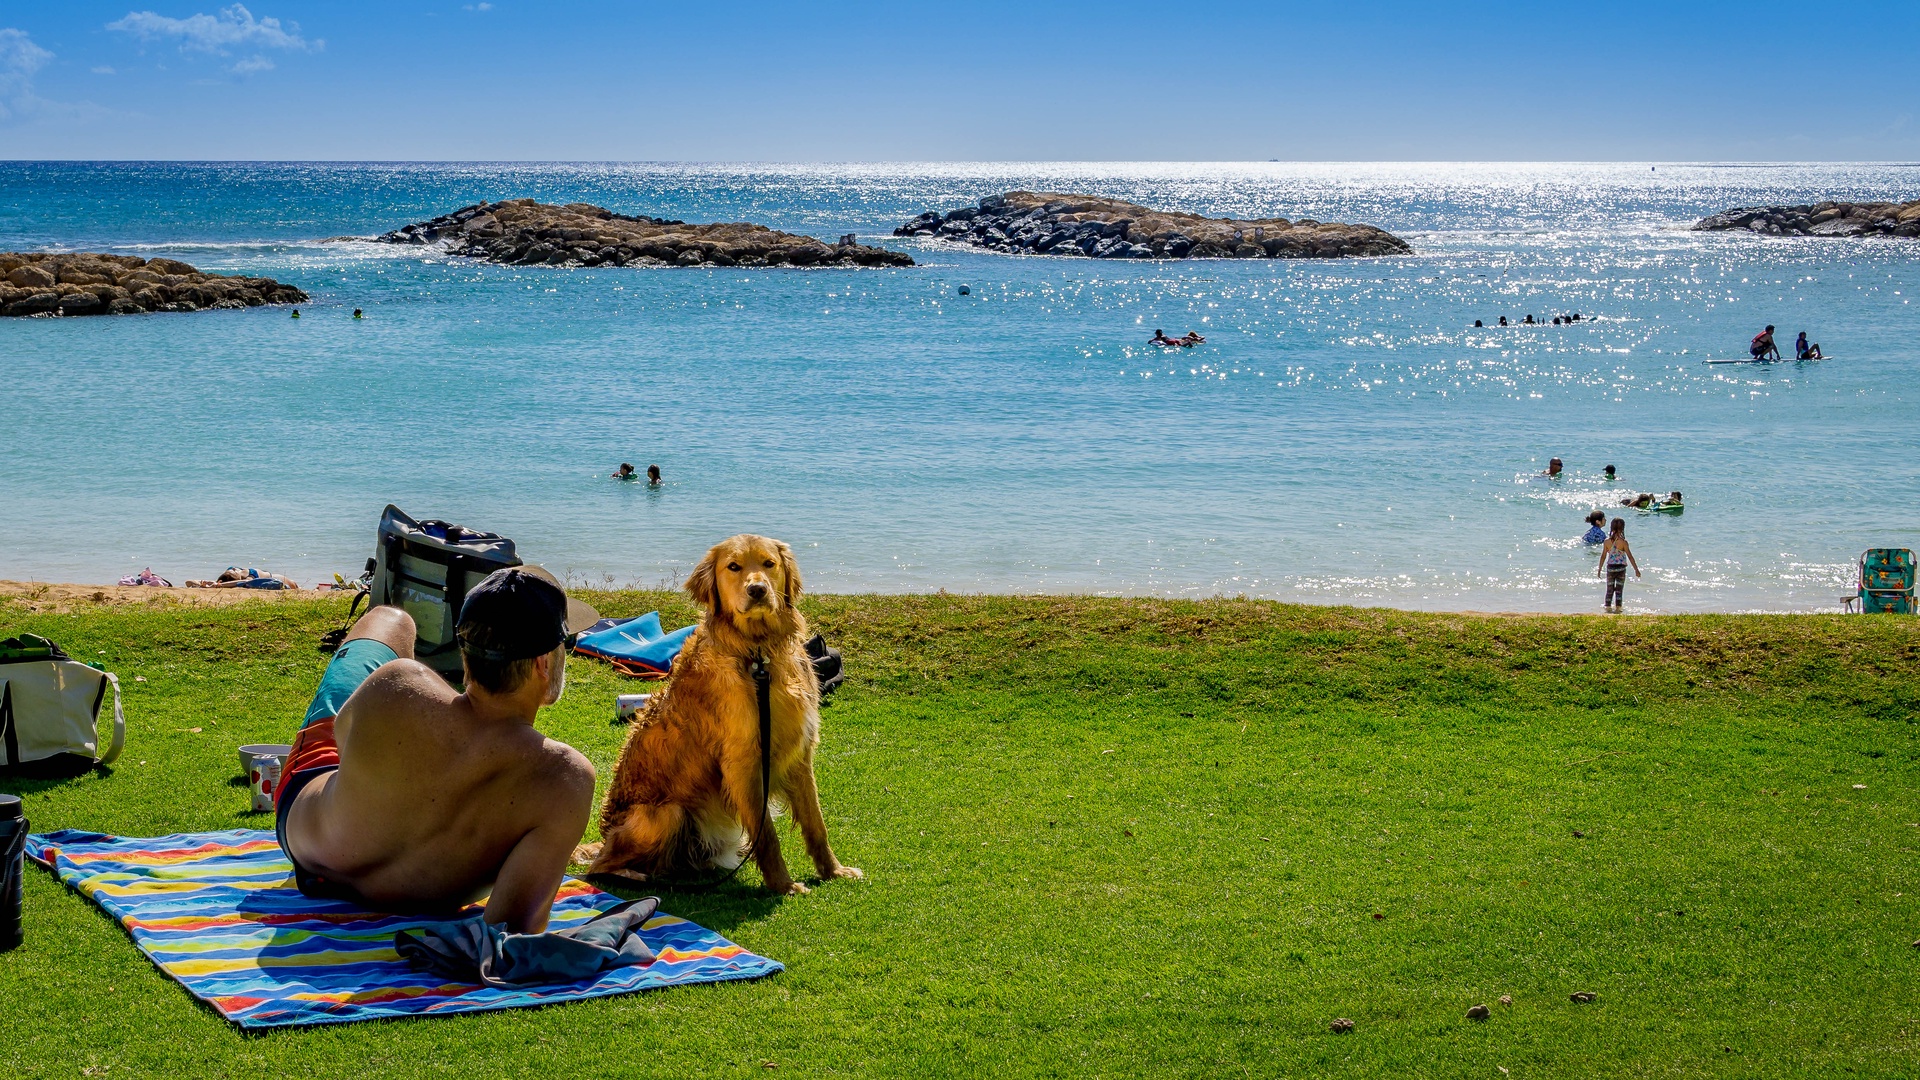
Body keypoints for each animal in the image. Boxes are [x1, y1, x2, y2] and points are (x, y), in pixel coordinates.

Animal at [568, 530, 864, 891]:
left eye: (769, 563)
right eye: (733, 567)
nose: (757, 590)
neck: (759, 653)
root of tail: (605, 836)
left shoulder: (800, 753)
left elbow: (816, 823)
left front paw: (834, 871)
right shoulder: (743, 762)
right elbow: (767, 835)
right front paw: (783, 886)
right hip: (668, 813)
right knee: (602, 865)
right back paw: (636, 876)